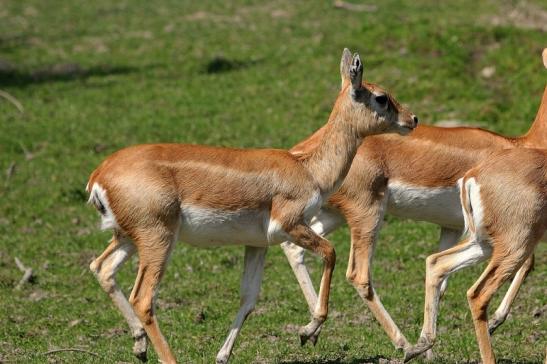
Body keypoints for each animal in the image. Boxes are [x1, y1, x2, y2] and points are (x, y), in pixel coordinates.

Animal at [88, 49, 418, 364]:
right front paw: (307, 331)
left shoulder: (257, 244)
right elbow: (330, 253)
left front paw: (222, 355)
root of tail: (99, 176)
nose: (412, 119)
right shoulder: (291, 225)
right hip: (157, 238)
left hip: (128, 237)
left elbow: (248, 299)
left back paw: (139, 346)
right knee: (143, 298)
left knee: (101, 268)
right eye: (381, 97)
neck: (307, 167)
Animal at [402, 146, 547, 364]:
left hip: (484, 244)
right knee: (478, 294)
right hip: (516, 247)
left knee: (437, 262)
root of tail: (472, 175)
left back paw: (418, 347)